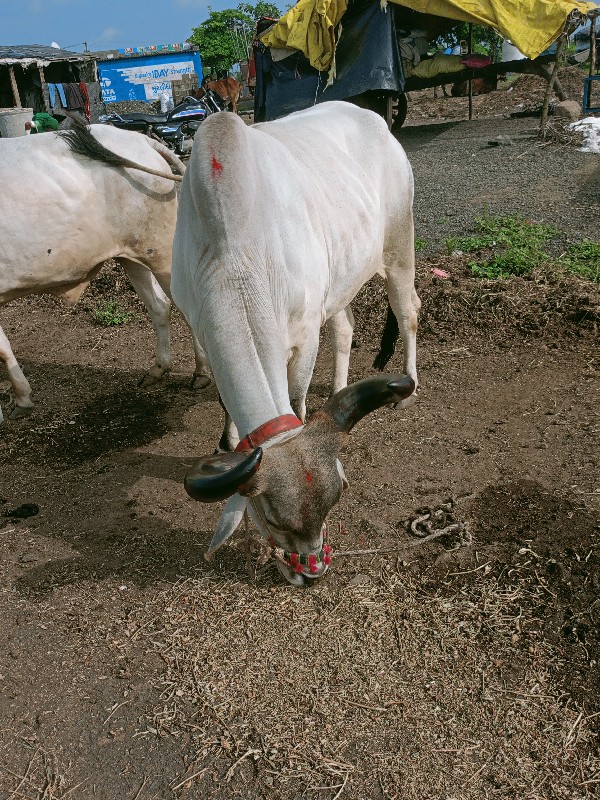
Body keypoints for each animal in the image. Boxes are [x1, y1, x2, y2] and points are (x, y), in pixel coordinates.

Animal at [0, 123, 211, 424]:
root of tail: (140, 139)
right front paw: (21, 397)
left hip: (161, 252)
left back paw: (201, 373)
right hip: (131, 255)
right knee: (159, 306)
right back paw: (159, 368)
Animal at [171, 103, 420, 584]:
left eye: (336, 499)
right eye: (270, 518)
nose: (311, 574)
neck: (234, 256)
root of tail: (374, 120)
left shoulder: (304, 337)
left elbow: (298, 396)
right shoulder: (200, 330)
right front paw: (229, 439)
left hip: (400, 249)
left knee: (409, 311)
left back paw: (410, 385)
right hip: (340, 281)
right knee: (345, 327)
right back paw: (340, 384)